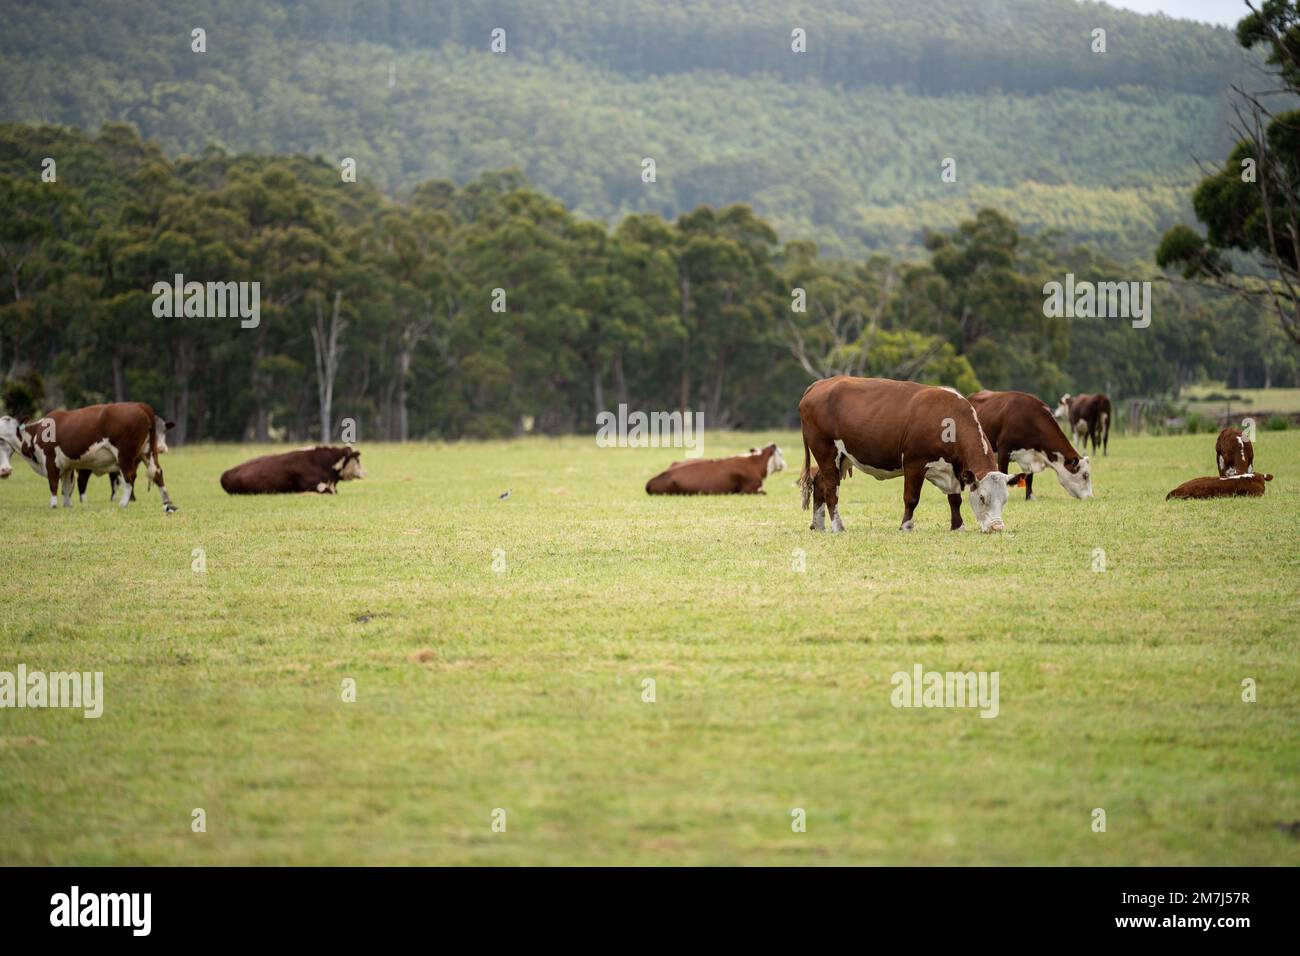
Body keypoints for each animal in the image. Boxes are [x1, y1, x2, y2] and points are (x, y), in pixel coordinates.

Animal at [0, 403, 176, 513]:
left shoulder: (50, 460)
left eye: (4, 424)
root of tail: (140, 406)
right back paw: (167, 501)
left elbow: (53, 484)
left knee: (129, 477)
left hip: (125, 456)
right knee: (157, 472)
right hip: (147, 452)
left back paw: (123, 502)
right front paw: (67, 505)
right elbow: (66, 487)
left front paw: (53, 504)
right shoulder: (67, 466)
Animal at [798, 376, 1024, 533]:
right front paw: (906, 526)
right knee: (831, 489)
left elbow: (955, 500)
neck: (948, 421)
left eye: (1005, 499)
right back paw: (838, 526)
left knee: (819, 482)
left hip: (838, 457)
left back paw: (818, 524)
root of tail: (819, 384)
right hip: (826, 452)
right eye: (983, 497)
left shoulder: (953, 470)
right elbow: (911, 498)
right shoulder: (914, 463)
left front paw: (957, 526)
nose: (997, 527)